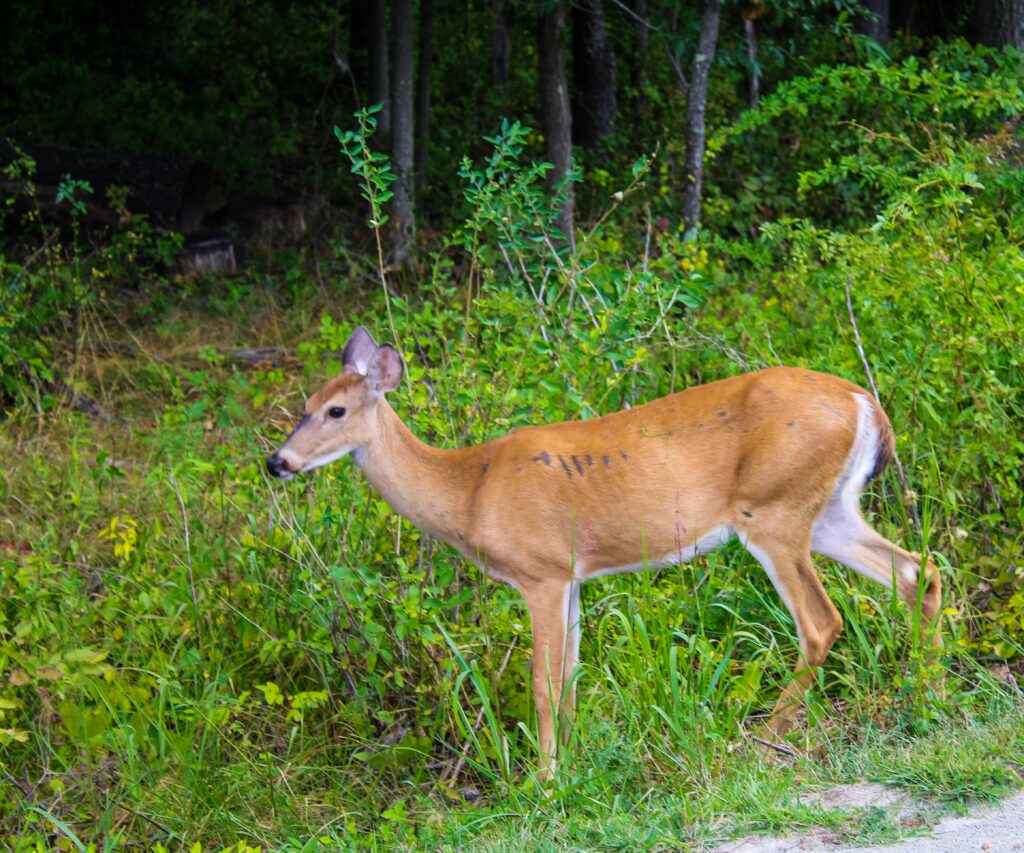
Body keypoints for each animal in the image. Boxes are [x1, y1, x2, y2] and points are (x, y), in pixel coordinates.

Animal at [266, 326, 943, 777]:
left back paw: (760, 739)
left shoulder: (540, 569)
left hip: (774, 509)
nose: (278, 462)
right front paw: (572, 764)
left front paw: (542, 781)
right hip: (827, 510)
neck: (468, 490)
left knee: (822, 620)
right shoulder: (572, 576)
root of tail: (865, 403)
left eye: (336, 410)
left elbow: (542, 683)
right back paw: (927, 691)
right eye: (302, 408)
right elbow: (569, 678)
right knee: (918, 571)